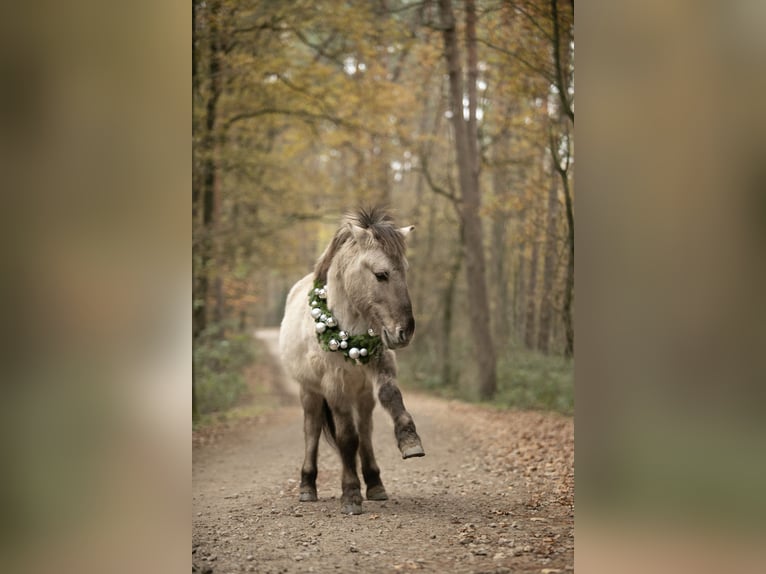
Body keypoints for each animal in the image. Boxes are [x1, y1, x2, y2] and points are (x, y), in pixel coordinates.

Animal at [278, 208, 426, 516]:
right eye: (381, 275)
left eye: (405, 271)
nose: (404, 332)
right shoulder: (334, 385)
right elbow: (347, 438)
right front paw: (350, 495)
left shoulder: (380, 364)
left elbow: (390, 396)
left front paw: (410, 440)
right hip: (310, 392)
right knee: (312, 430)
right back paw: (307, 486)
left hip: (362, 394)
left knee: (366, 431)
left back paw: (375, 483)